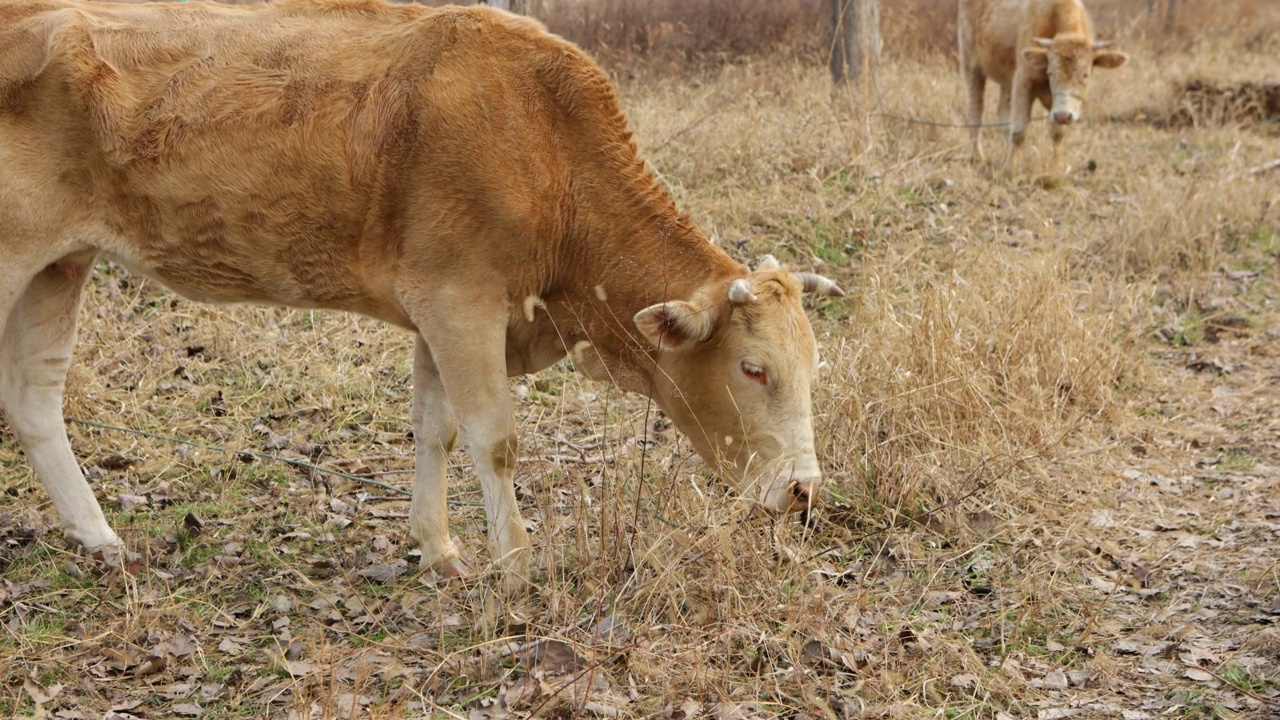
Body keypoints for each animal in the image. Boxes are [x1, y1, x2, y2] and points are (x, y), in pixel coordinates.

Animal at [0, 0, 844, 589]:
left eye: (813, 366)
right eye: (753, 369)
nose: (805, 492)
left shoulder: (442, 309)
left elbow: (435, 427)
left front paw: (439, 549)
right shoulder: (460, 299)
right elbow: (493, 437)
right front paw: (518, 562)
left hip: (60, 264)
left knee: (34, 397)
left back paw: (101, 540)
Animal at [962, 0, 1131, 172]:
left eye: (1085, 74)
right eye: (1050, 72)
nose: (1064, 115)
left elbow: (1058, 133)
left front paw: (1057, 168)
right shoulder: (1023, 81)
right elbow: (1019, 131)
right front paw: (1009, 170)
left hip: (1006, 80)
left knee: (1003, 112)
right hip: (971, 66)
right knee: (976, 112)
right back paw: (978, 157)